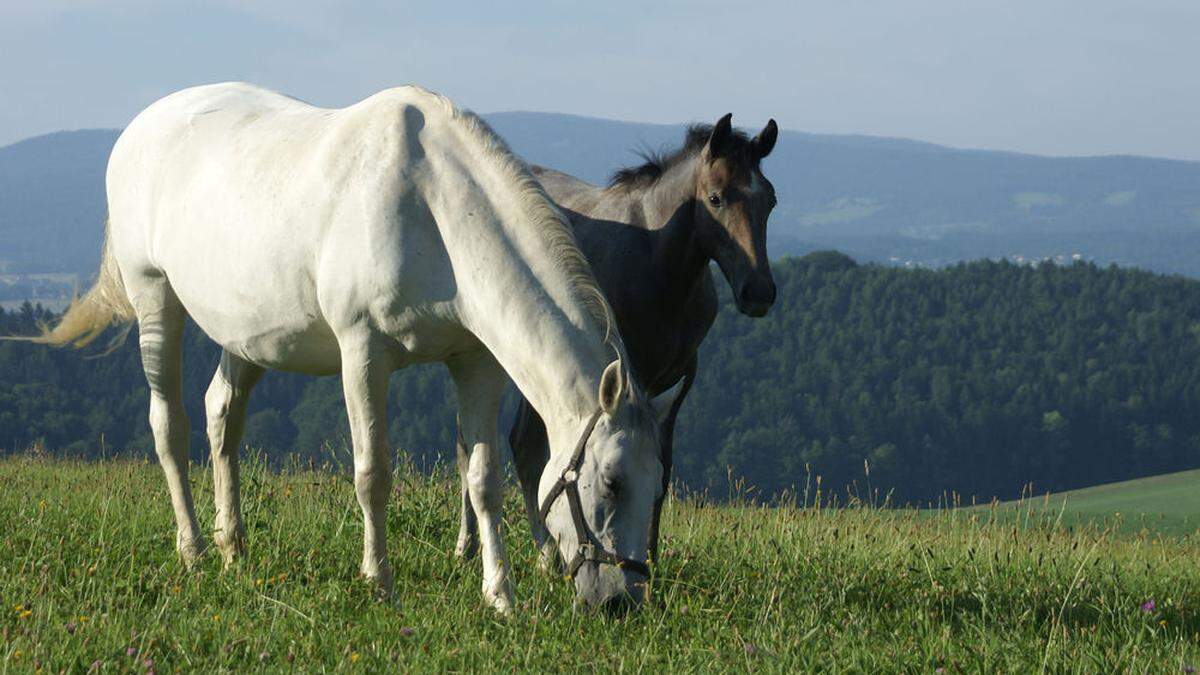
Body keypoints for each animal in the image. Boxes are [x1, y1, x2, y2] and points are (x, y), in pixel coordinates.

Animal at [30, 82, 676, 610]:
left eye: (656, 485)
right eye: (612, 482)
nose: (622, 602)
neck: (435, 207)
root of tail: (141, 126)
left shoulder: (475, 362)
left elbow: (484, 479)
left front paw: (500, 596)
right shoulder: (363, 351)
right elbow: (373, 473)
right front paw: (379, 583)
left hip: (245, 336)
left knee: (222, 417)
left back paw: (233, 549)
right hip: (154, 298)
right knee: (170, 424)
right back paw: (193, 551)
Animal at [456, 114, 777, 562]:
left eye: (770, 201)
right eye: (715, 198)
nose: (758, 293)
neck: (658, 266)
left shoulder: (678, 380)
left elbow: (662, 464)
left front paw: (653, 556)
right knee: (487, 446)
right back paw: (482, 546)